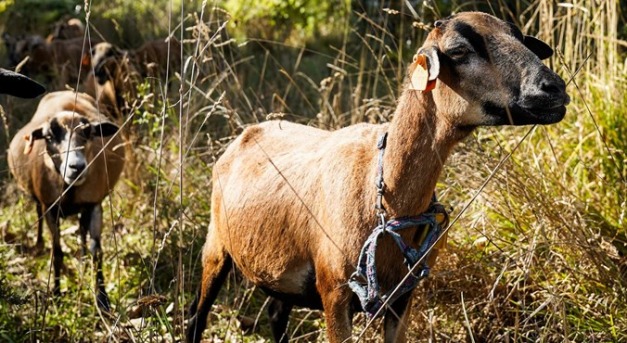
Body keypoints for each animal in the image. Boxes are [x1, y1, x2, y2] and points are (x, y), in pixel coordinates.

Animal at [6, 90, 125, 310]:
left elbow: (97, 250)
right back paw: (38, 244)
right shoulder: (51, 209)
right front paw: (56, 292)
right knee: (39, 214)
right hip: (40, 201)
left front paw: (103, 300)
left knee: (82, 229)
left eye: (88, 133)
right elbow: (58, 251)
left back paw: (83, 257)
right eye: (49, 136)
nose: (76, 167)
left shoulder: (94, 204)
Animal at [186, 11, 568, 343]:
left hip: (281, 270)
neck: (384, 192)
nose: (554, 89)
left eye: (521, 39)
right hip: (216, 247)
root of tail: (249, 131)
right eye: (459, 51)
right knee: (196, 315)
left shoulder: (402, 298)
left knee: (276, 315)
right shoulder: (335, 293)